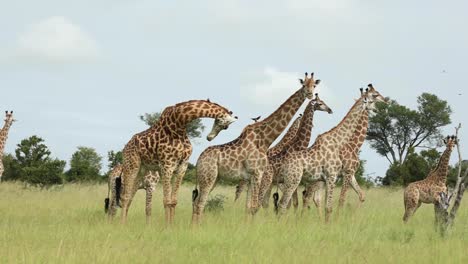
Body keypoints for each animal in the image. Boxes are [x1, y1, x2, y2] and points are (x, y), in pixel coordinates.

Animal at [192, 71, 320, 224]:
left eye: (314, 85)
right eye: (303, 85)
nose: (310, 94)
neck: (264, 139)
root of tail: (199, 160)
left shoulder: (250, 177)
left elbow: (249, 207)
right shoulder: (258, 173)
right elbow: (255, 206)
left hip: (213, 178)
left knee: (197, 202)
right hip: (208, 177)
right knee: (200, 203)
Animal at [276, 84, 386, 221]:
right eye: (374, 96)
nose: (385, 104)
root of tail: (284, 164)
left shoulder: (334, 177)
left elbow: (352, 198)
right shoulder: (339, 174)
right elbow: (335, 204)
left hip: (291, 181)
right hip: (294, 180)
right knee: (285, 203)